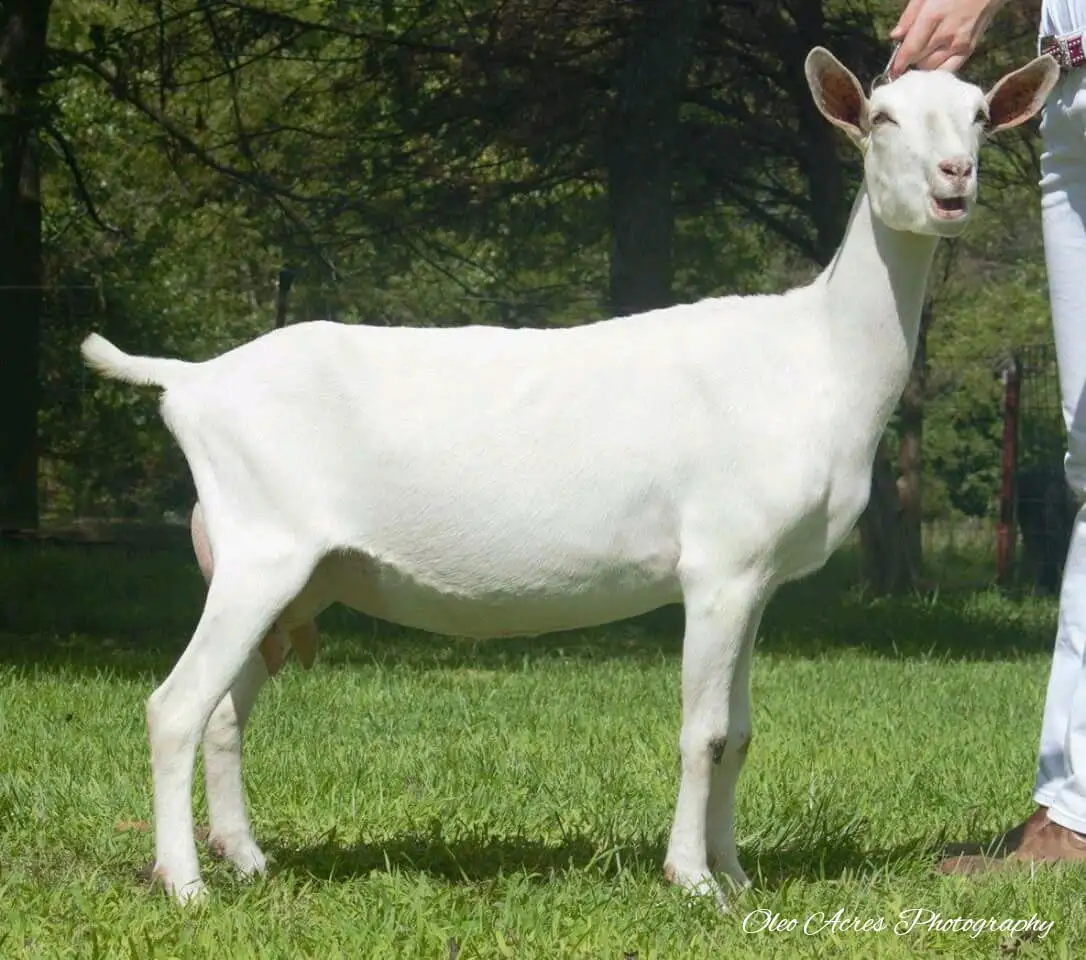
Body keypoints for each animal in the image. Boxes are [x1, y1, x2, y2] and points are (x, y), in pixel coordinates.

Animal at [81, 47, 1059, 908]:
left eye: (979, 114)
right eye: (881, 117)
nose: (953, 180)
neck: (814, 358)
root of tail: (192, 381)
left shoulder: (759, 578)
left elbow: (741, 733)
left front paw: (740, 878)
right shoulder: (719, 565)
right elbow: (704, 732)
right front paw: (693, 881)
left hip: (305, 574)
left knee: (225, 711)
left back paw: (248, 862)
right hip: (261, 548)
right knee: (174, 707)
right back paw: (187, 887)